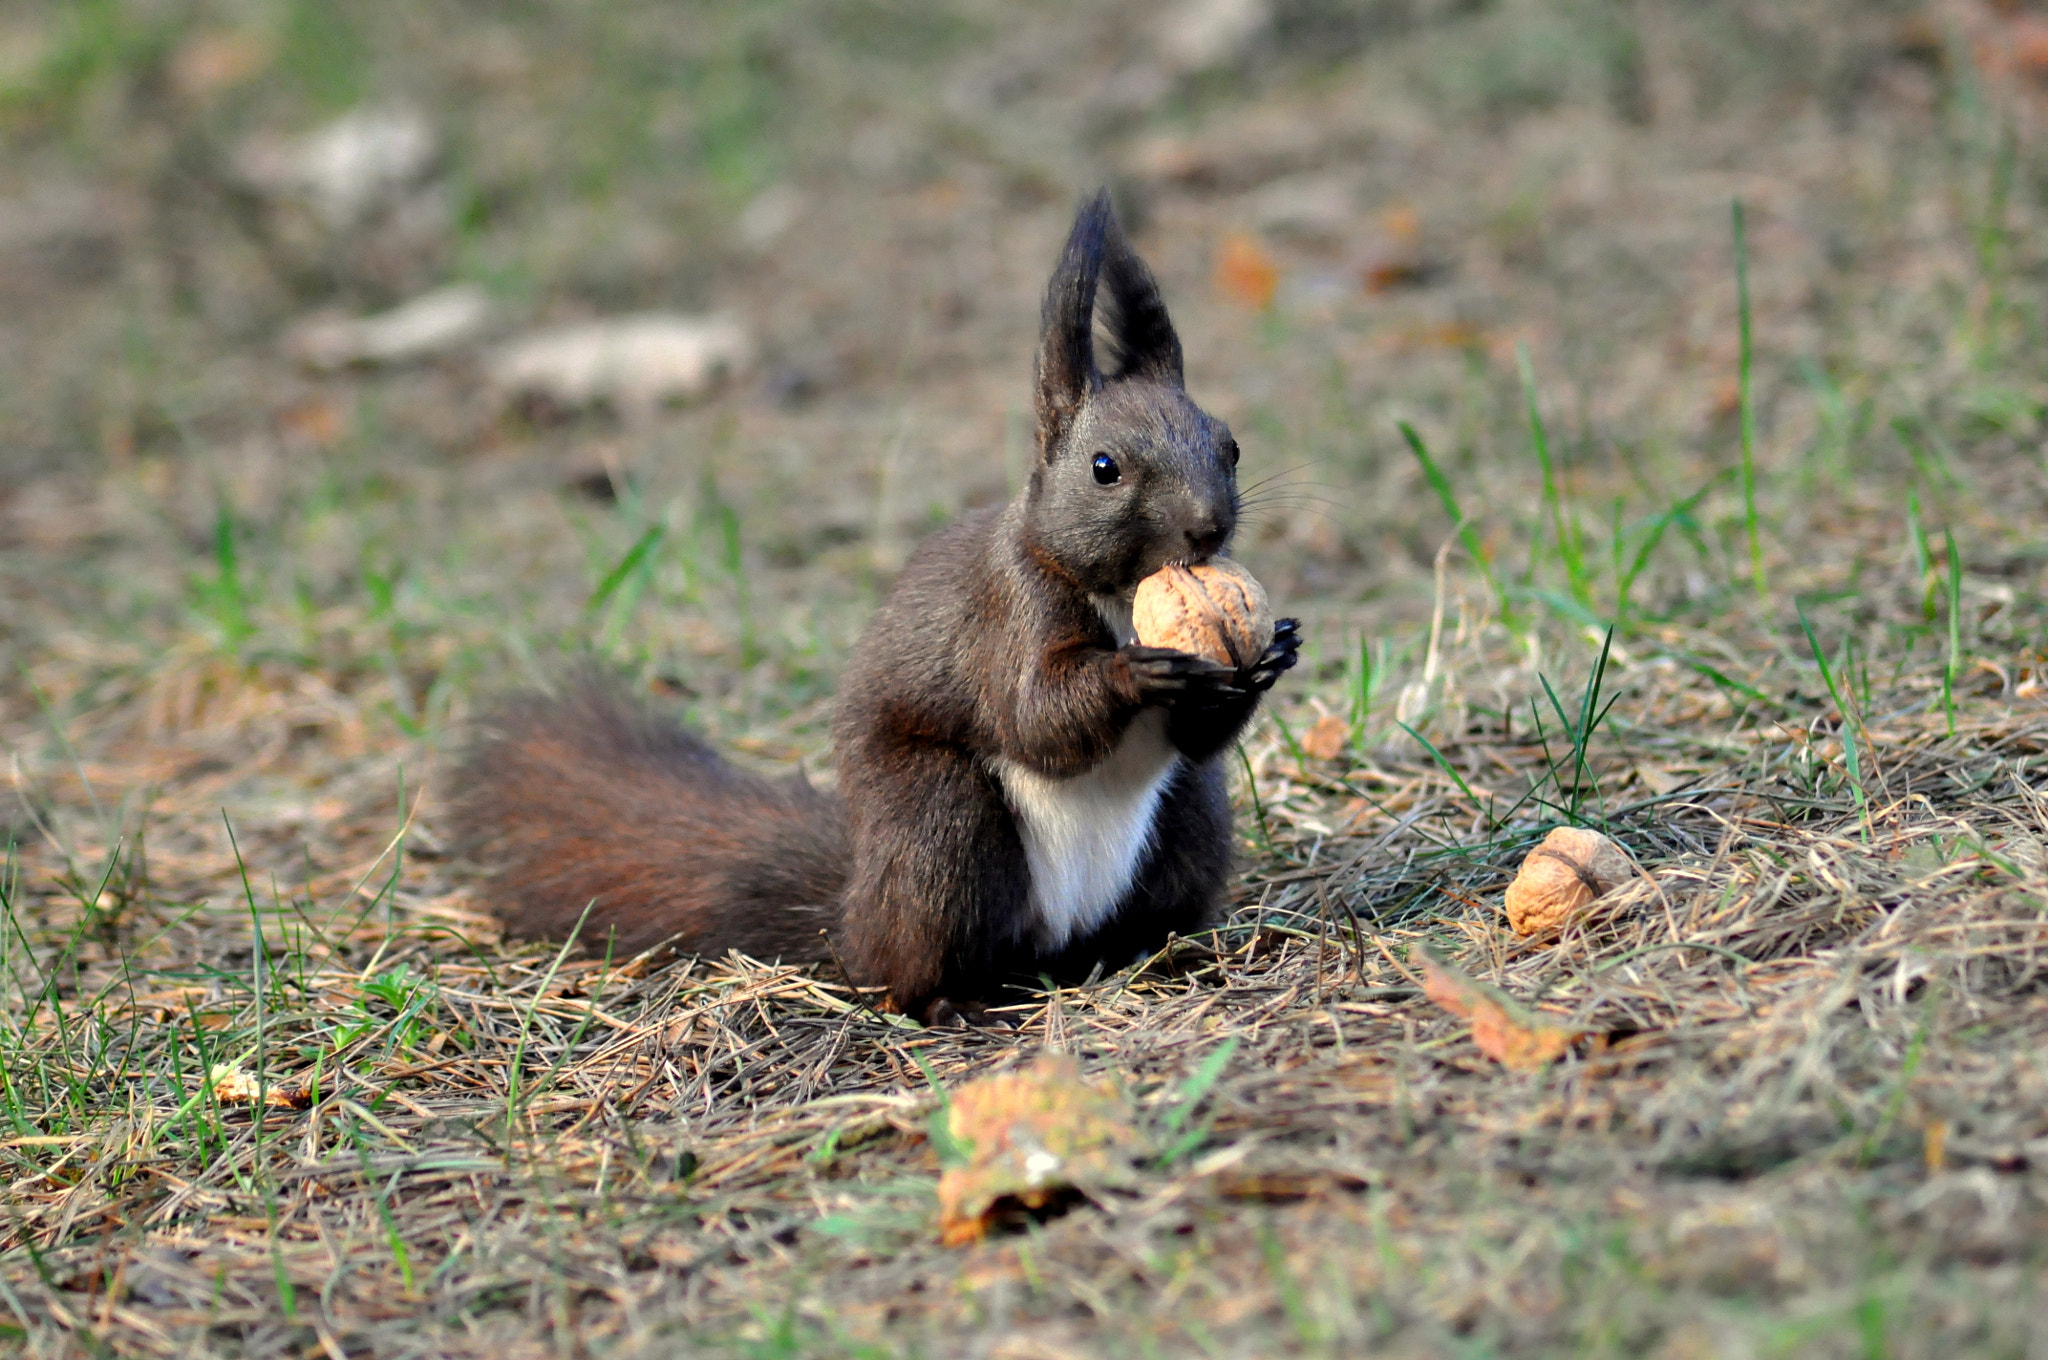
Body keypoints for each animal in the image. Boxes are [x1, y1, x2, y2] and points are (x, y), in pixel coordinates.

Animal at [450, 190, 1301, 1025]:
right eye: (1104, 468)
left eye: (1230, 447)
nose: (1208, 527)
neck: (1121, 594)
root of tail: (853, 910)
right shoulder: (1007, 613)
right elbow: (1035, 716)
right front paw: (1142, 670)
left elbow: (1195, 734)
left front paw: (1274, 651)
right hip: (940, 831)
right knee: (904, 965)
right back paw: (952, 1001)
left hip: (1193, 820)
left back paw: (1163, 952)